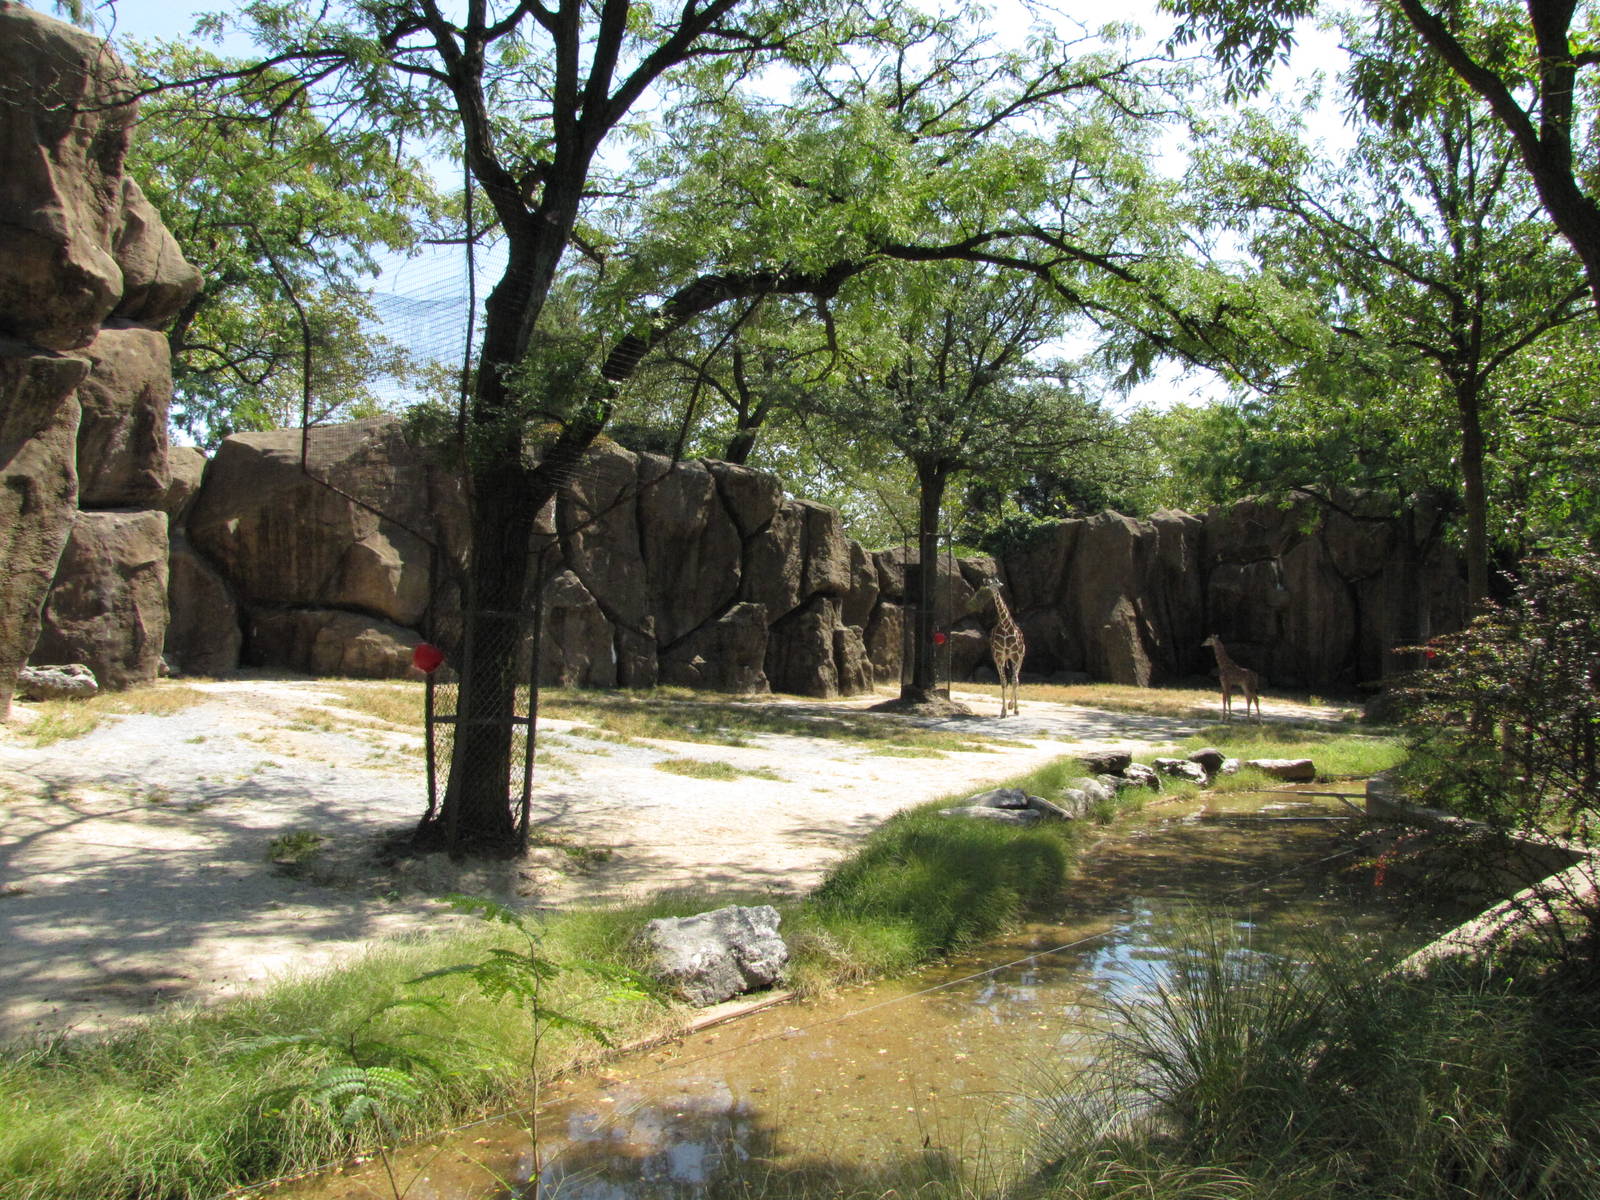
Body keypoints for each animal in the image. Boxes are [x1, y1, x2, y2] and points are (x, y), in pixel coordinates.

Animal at [973, 577, 1026, 717]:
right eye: (988, 583)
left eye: (996, 582)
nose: (991, 588)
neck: (1005, 625)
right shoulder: (999, 656)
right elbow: (1003, 682)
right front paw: (1003, 711)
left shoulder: (1015, 656)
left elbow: (1014, 681)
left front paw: (1015, 709)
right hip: (1003, 659)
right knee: (1010, 679)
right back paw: (1009, 706)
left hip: (1019, 658)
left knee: (1016, 679)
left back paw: (1014, 706)